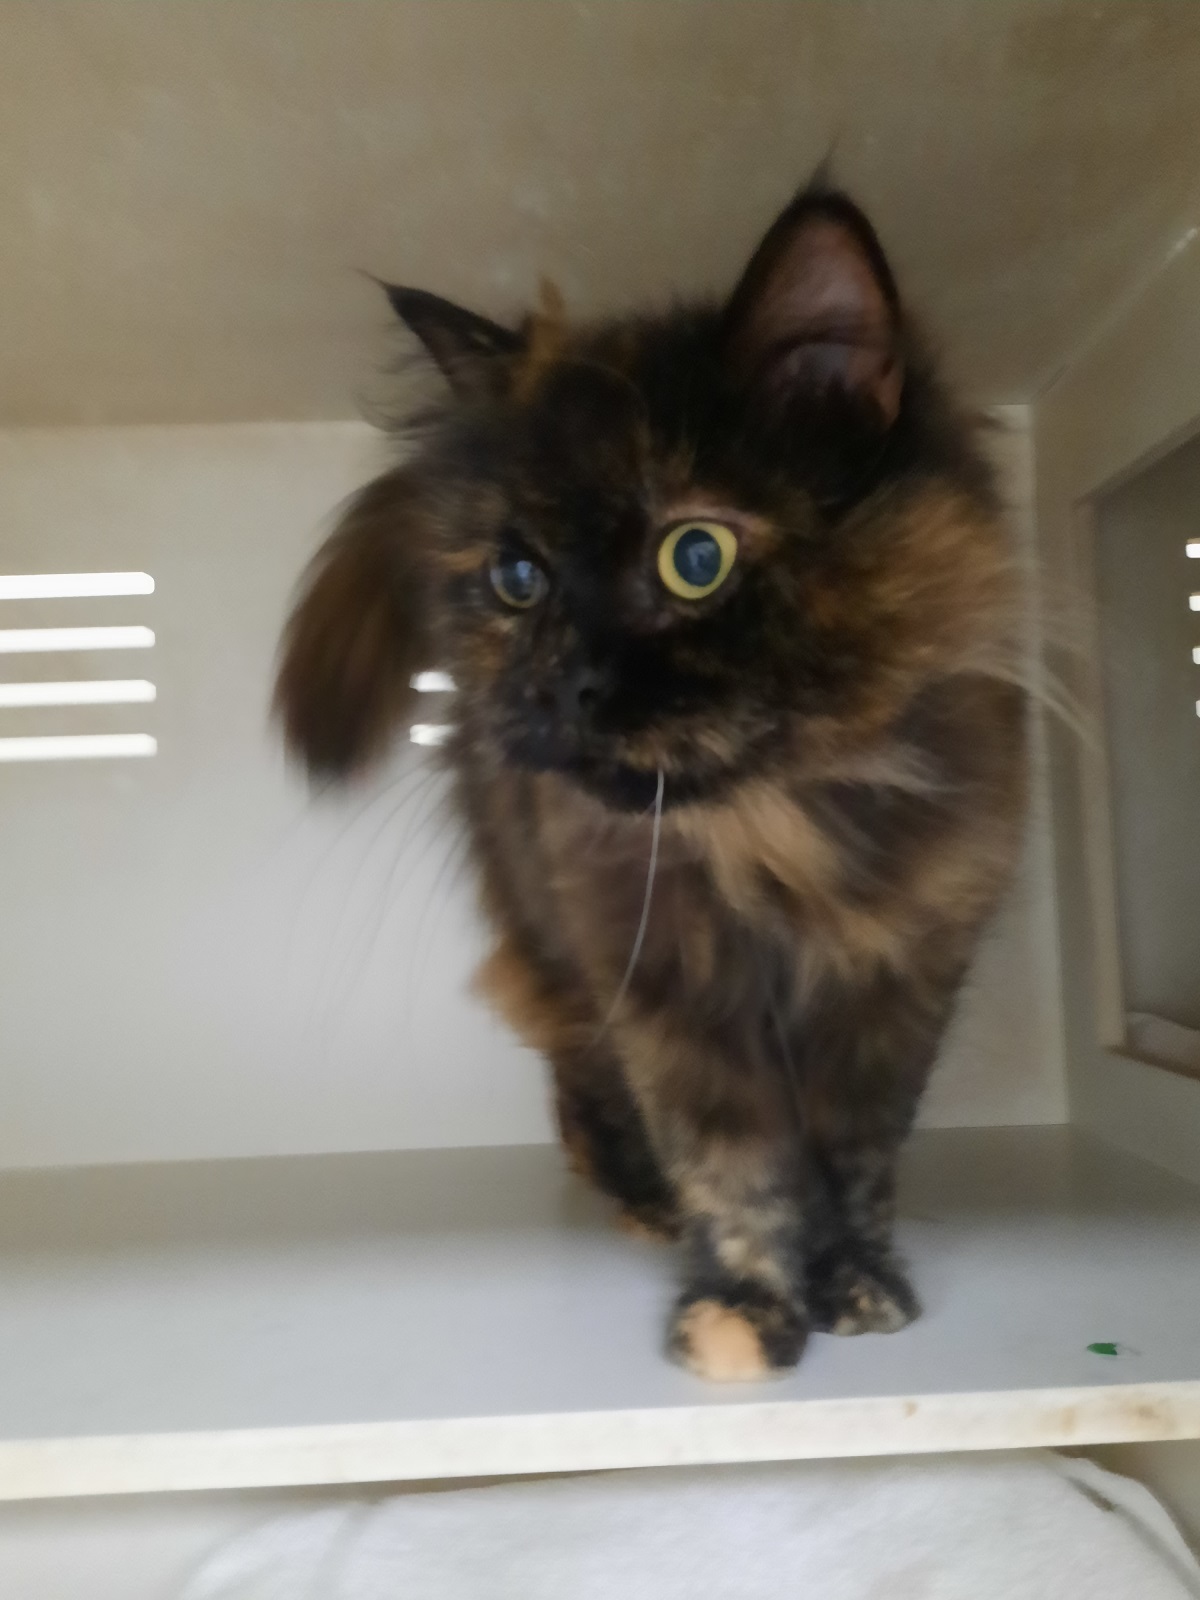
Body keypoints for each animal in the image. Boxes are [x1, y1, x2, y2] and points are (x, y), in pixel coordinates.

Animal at [275, 180, 1027, 1381]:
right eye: (519, 576)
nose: (566, 684)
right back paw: (639, 1196)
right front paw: (744, 1309)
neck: (769, 830)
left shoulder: (900, 978)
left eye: (696, 557)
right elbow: (732, 1159)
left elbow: (855, 1152)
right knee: (577, 1072)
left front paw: (854, 1283)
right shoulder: (665, 985)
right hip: (553, 928)